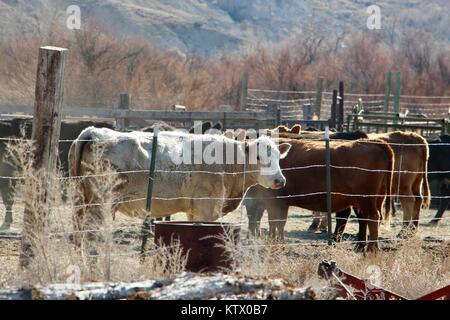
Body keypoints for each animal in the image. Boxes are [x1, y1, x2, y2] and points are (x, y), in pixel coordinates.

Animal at [243, 139, 394, 251]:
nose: (250, 238)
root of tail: (373, 142)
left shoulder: (275, 201)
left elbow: (275, 222)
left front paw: (274, 242)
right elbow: (277, 223)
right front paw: (276, 241)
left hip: (366, 200)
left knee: (372, 217)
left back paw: (372, 249)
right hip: (373, 199)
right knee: (367, 219)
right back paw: (361, 247)